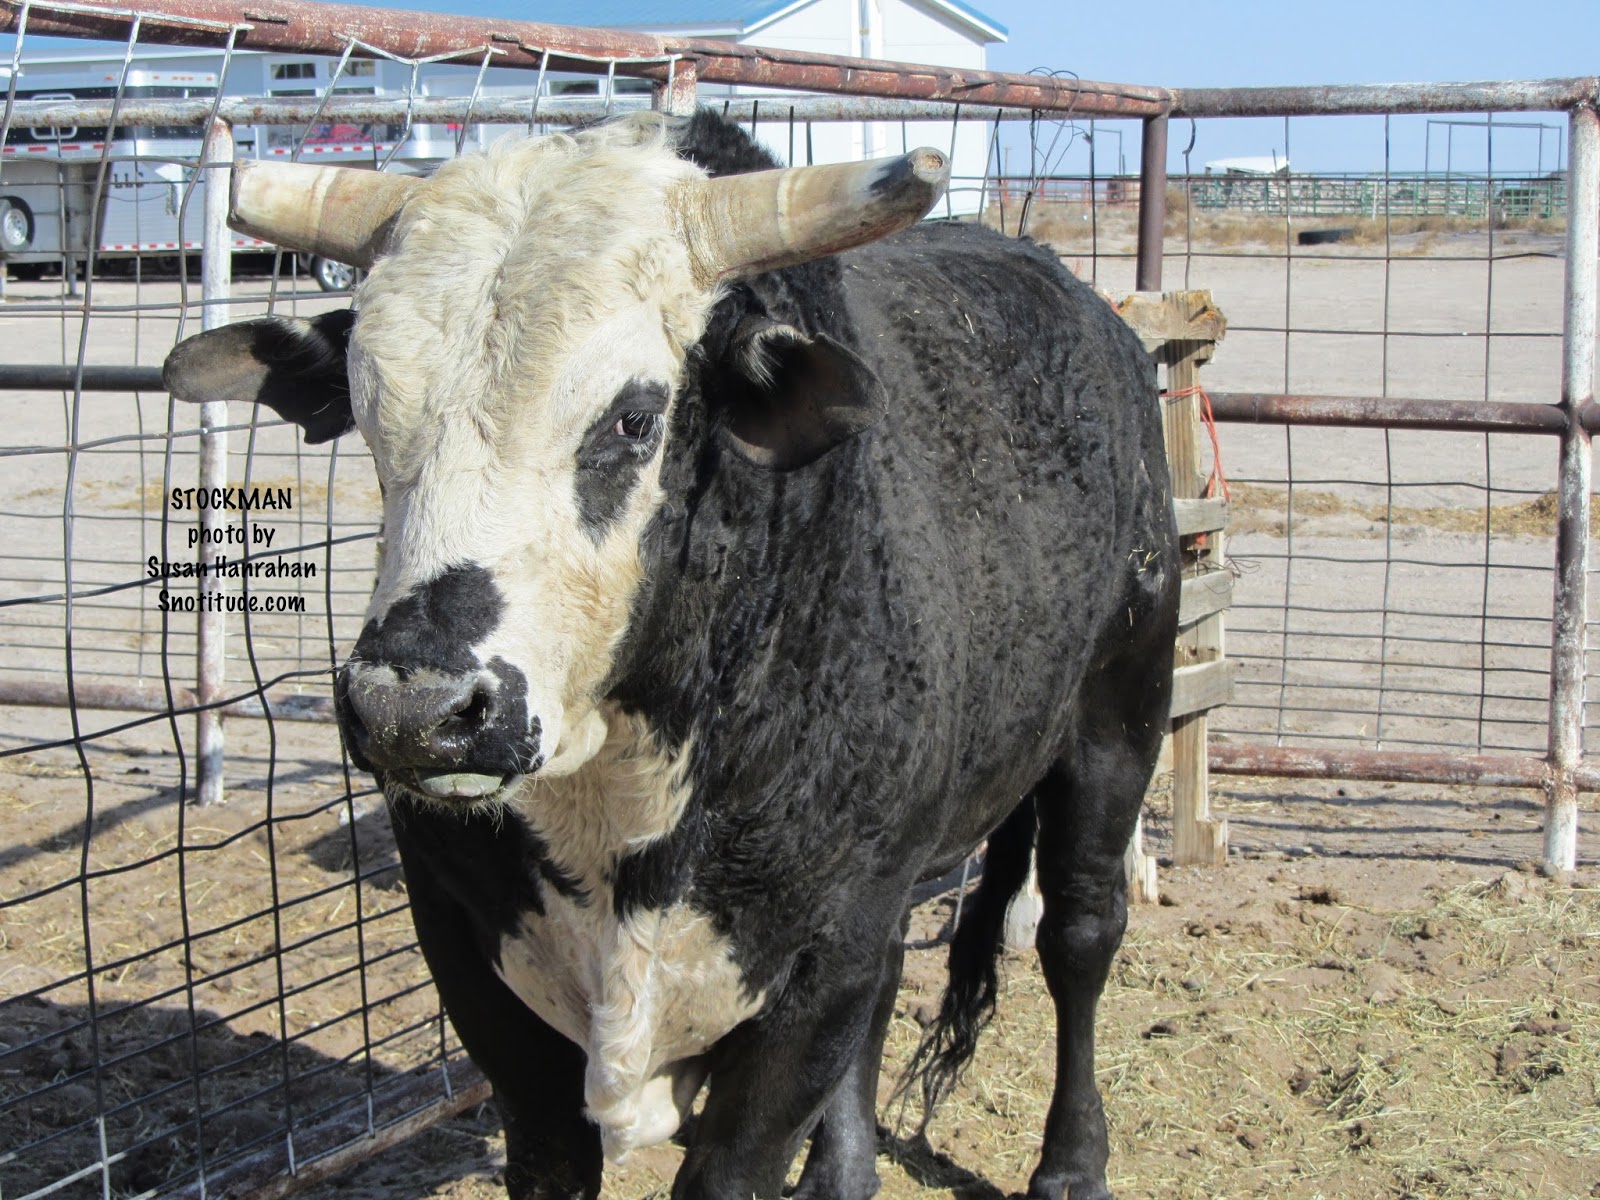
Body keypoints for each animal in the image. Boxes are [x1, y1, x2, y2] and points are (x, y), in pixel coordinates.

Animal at [163, 110, 1179, 1200]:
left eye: (633, 416)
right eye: (365, 410)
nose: (415, 712)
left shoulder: (813, 971)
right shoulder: (480, 976)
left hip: (1120, 713)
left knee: (1081, 929)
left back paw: (1071, 1162)